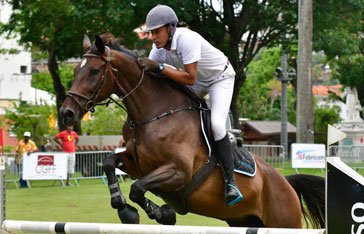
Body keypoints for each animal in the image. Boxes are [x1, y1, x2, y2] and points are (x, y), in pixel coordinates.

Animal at [59, 33, 324, 229]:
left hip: (283, 221)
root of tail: (286, 183)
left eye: (94, 71)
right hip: (243, 221)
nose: (66, 113)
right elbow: (109, 163)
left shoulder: (179, 171)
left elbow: (138, 188)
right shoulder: (136, 163)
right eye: (75, 70)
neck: (152, 115)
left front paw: (159, 213)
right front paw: (125, 208)